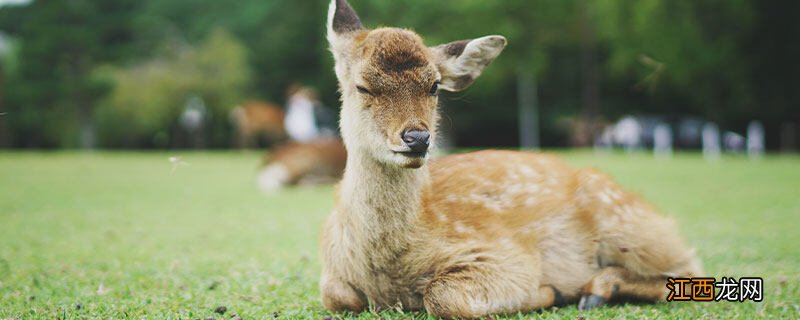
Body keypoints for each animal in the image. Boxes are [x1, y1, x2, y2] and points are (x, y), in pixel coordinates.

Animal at [322, 0, 704, 318]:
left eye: (434, 86)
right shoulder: (332, 277)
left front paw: (550, 291)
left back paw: (594, 290)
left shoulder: (503, 255)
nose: (417, 138)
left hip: (632, 227)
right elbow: (336, 296)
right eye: (363, 86)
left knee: (690, 270)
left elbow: (444, 297)